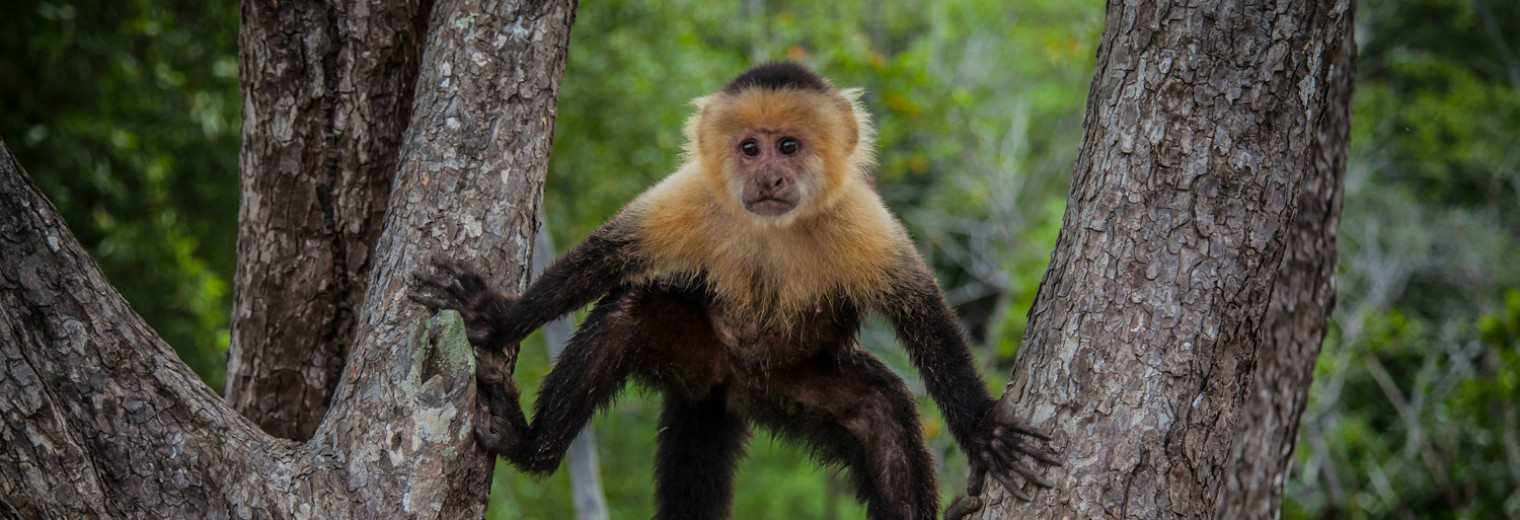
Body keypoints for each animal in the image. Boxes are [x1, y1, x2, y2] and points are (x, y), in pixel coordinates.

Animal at [416, 61, 1057, 520]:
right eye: (750, 147)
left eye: (788, 147)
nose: (768, 176)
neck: (774, 229)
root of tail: (728, 382)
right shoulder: (691, 194)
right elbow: (605, 260)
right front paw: (496, 316)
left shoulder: (863, 221)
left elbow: (923, 313)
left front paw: (983, 430)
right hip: (694, 348)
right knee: (629, 314)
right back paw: (530, 444)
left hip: (792, 383)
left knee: (884, 415)